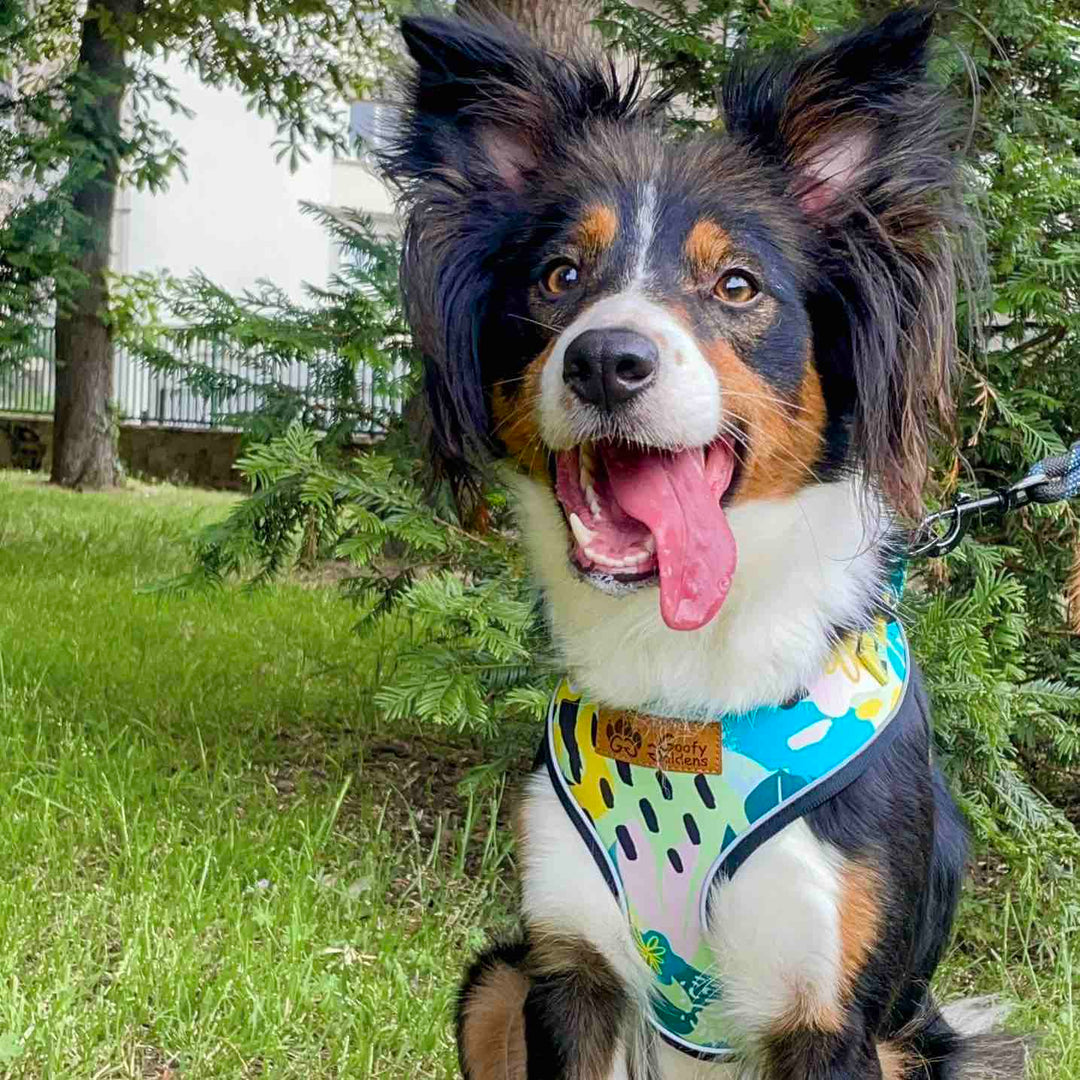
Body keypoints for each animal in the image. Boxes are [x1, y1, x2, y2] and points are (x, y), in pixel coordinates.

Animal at [384, 10, 1023, 1080]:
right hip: (495, 981)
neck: (687, 682)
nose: (606, 360)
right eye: (559, 276)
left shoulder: (829, 1012)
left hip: (914, 1043)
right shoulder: (570, 968)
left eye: (736, 284)